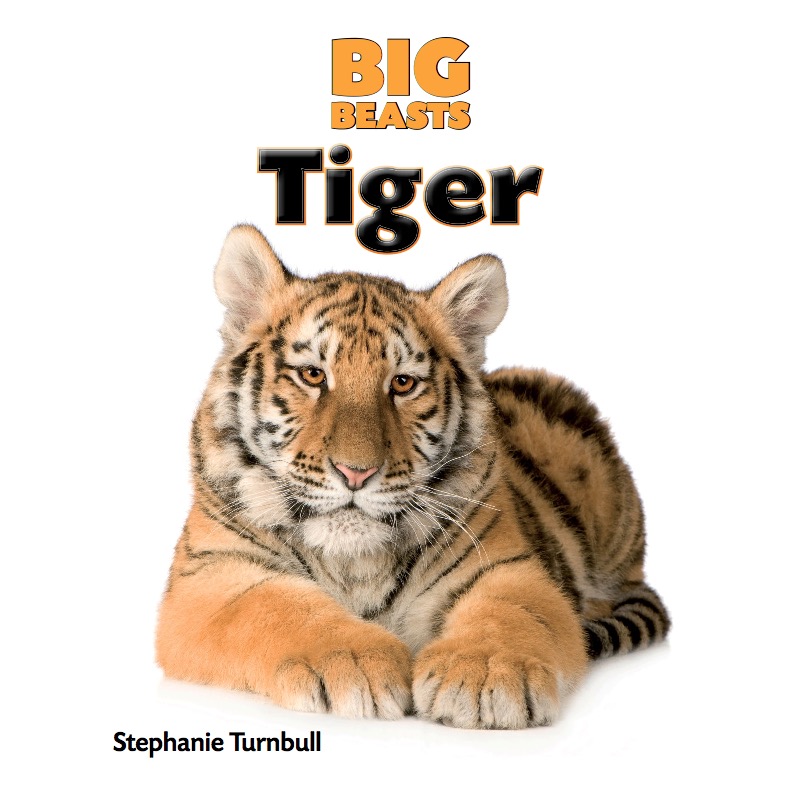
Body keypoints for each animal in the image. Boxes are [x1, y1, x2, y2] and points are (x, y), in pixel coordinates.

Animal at [156, 224, 670, 729]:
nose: (355, 472)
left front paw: (484, 675)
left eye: (402, 383)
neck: (355, 562)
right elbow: (278, 607)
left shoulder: (509, 567)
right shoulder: (211, 577)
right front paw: (356, 662)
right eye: (313, 375)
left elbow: (509, 614)